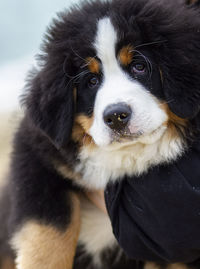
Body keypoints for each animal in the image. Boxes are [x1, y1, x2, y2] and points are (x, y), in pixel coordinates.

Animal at [0, 0, 200, 268]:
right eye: (92, 81)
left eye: (139, 66)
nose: (116, 116)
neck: (124, 158)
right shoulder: (35, 158)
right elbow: (51, 234)